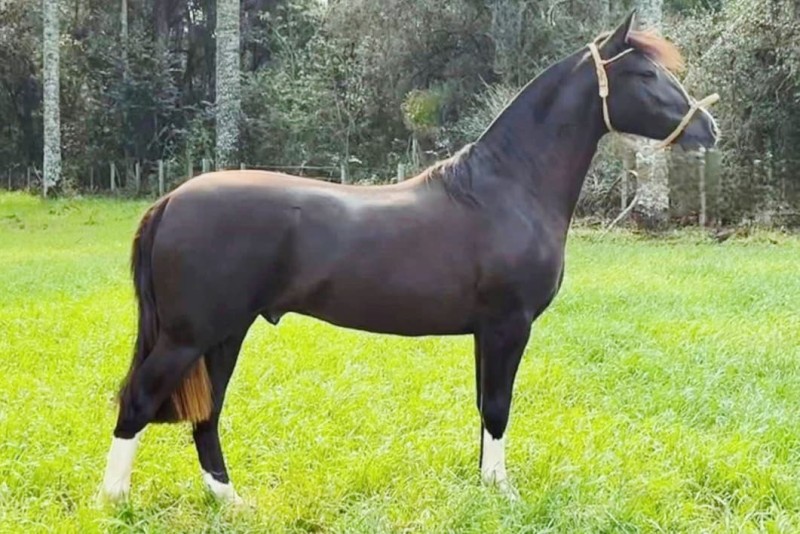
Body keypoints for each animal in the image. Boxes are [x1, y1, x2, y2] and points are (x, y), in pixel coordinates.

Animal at [100, 11, 719, 504]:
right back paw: (115, 502)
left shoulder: (486, 331)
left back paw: (230, 502)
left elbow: (483, 406)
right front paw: (504, 493)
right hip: (190, 336)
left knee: (207, 412)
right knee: (140, 400)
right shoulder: (508, 324)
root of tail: (170, 200)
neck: (508, 187)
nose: (709, 128)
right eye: (645, 74)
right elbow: (498, 406)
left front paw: (484, 486)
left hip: (225, 333)